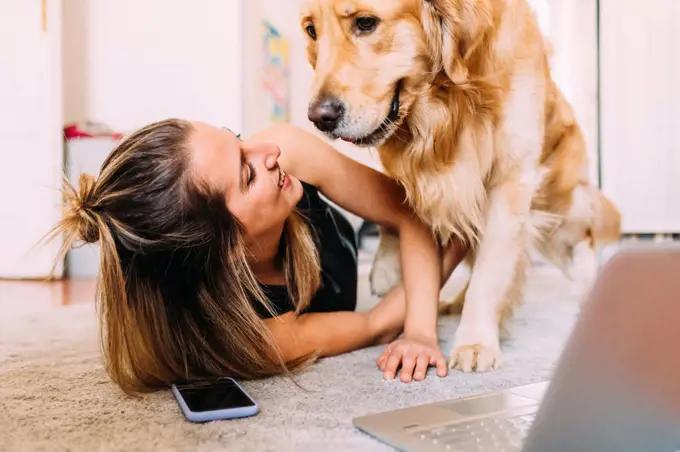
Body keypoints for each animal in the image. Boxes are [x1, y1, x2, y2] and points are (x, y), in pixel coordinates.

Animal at [300, 0, 620, 372]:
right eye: (311, 30)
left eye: (366, 23)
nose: (319, 118)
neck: (450, 99)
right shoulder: (408, 166)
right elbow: (393, 197)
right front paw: (386, 263)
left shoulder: (510, 180)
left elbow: (490, 273)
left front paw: (476, 343)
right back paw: (454, 301)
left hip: (560, 204)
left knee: (584, 240)